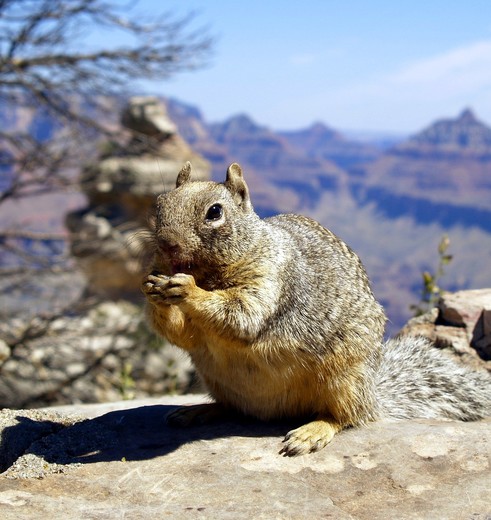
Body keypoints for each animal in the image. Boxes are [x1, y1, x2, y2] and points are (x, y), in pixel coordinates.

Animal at [142, 161, 491, 456]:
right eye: (158, 204)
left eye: (215, 212)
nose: (167, 244)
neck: (212, 274)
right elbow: (183, 335)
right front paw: (151, 287)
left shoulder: (271, 277)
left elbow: (242, 315)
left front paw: (186, 288)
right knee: (231, 407)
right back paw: (196, 410)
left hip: (345, 379)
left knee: (344, 417)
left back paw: (311, 433)